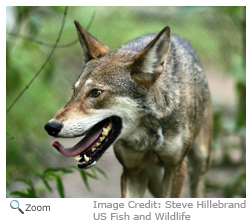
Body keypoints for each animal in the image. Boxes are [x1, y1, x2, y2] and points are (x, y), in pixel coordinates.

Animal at [44, 20, 213, 197]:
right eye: (74, 91)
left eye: (96, 93)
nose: (50, 126)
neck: (149, 134)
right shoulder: (132, 171)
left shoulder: (176, 168)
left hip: (200, 161)